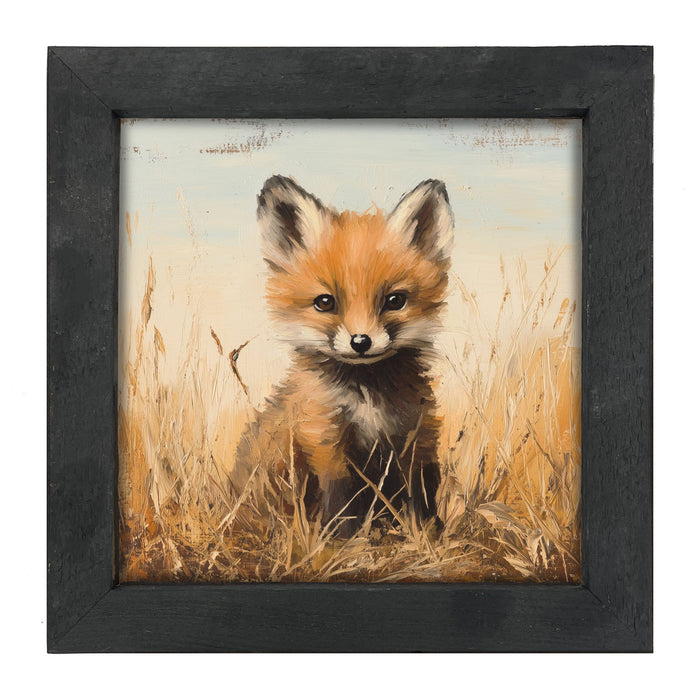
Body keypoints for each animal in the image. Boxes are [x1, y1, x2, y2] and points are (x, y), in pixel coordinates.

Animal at [236, 175, 453, 536]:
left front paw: (426, 534)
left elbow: (420, 493)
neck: (367, 397)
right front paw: (345, 540)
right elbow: (341, 498)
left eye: (395, 300)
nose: (361, 341)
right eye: (325, 302)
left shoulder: (415, 434)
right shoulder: (324, 438)